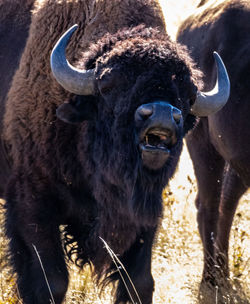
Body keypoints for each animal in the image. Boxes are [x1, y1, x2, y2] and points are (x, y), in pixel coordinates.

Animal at [0, 0, 229, 304]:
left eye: (188, 95)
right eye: (109, 85)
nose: (162, 115)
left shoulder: (145, 213)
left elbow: (139, 282)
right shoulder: (33, 203)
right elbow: (52, 282)